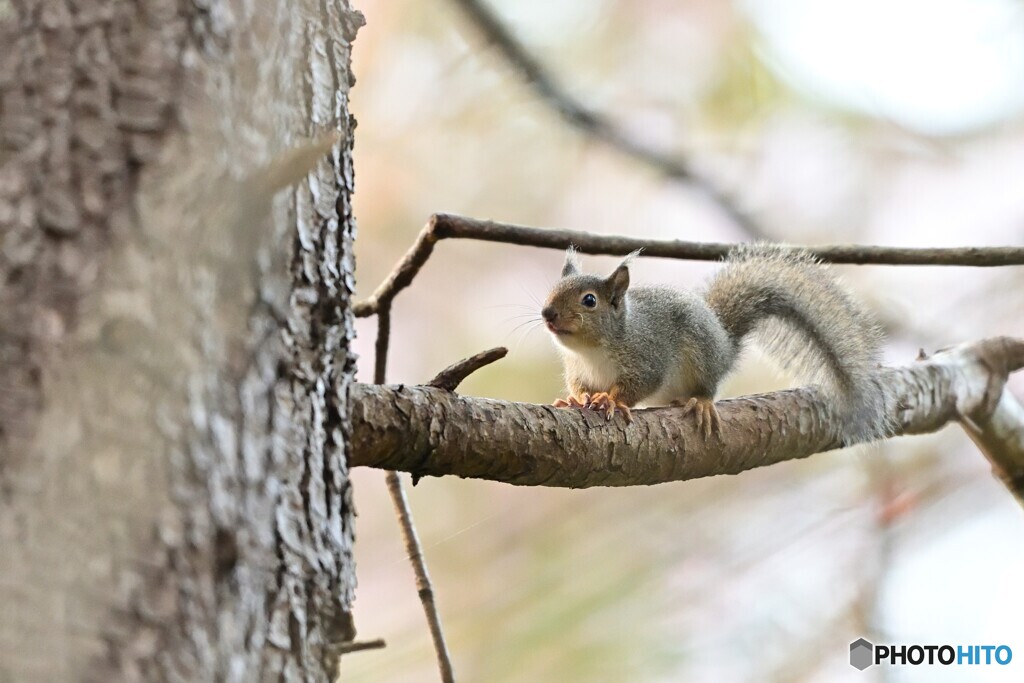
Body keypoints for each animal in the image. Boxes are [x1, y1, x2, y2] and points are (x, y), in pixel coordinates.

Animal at [544, 245, 888, 444]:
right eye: (552, 289)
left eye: (590, 300)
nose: (547, 313)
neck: (592, 351)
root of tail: (724, 342)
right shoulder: (578, 371)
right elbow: (579, 388)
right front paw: (575, 400)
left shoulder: (647, 357)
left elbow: (636, 386)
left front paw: (611, 400)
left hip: (702, 356)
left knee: (707, 387)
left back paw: (701, 403)